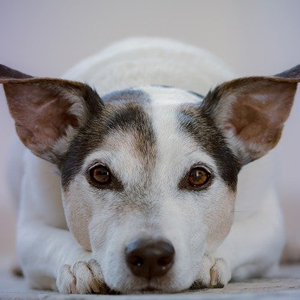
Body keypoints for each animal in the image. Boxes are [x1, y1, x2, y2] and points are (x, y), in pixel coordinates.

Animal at [0, 37, 298, 292]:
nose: (151, 256)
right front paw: (81, 263)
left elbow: (240, 234)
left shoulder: (268, 225)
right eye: (100, 174)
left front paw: (207, 260)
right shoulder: (31, 227)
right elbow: (51, 240)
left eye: (198, 176)